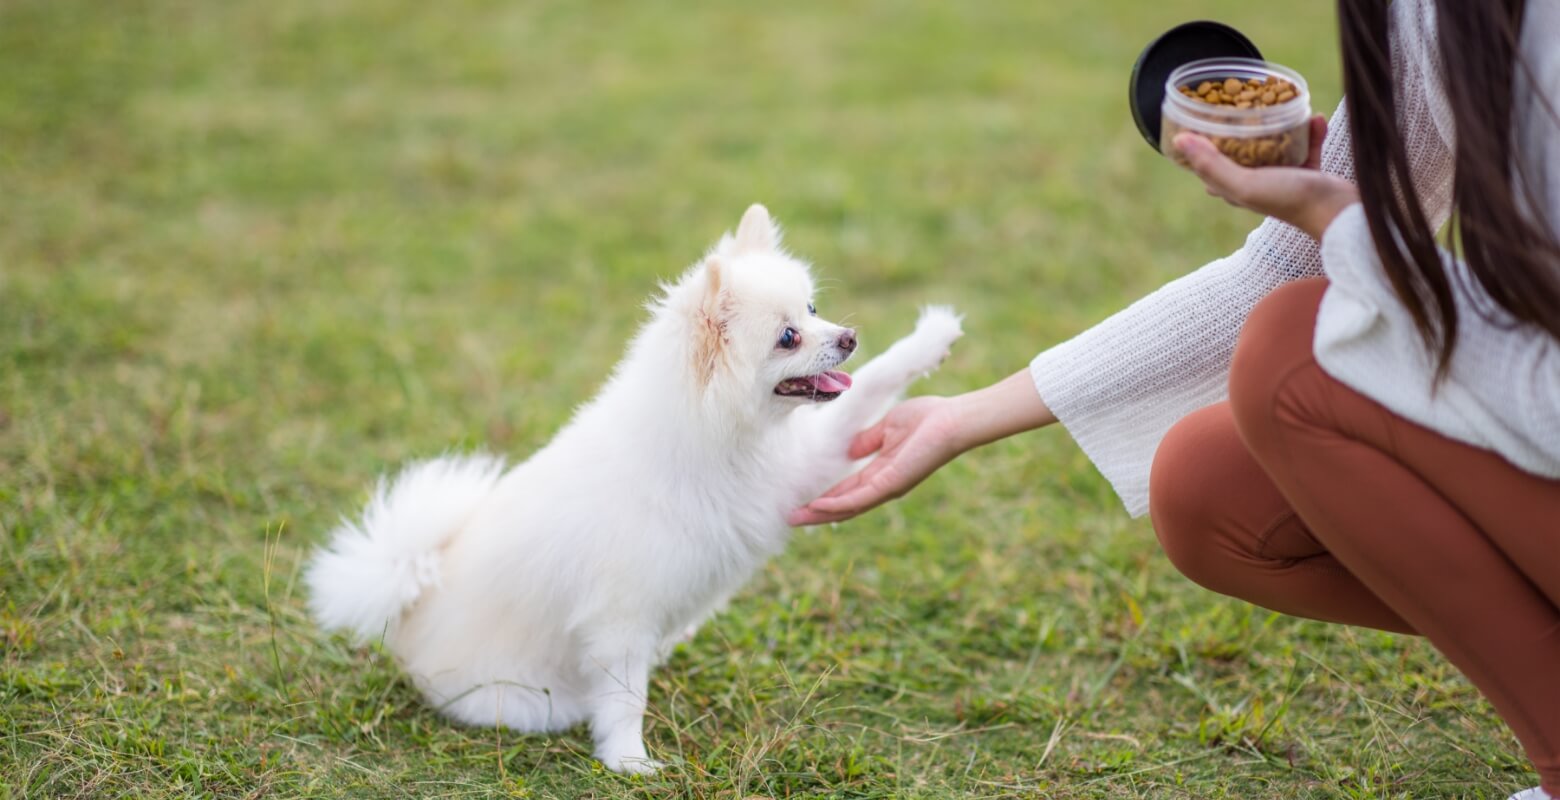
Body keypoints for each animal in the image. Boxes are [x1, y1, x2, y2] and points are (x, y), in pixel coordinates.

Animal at [304, 205, 960, 773]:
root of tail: (412, 610)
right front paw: (628, 761)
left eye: (814, 307)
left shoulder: (801, 469)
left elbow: (872, 387)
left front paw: (931, 336)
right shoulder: (619, 618)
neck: (718, 439)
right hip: (524, 697)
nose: (847, 336)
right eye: (788, 337)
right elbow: (624, 700)